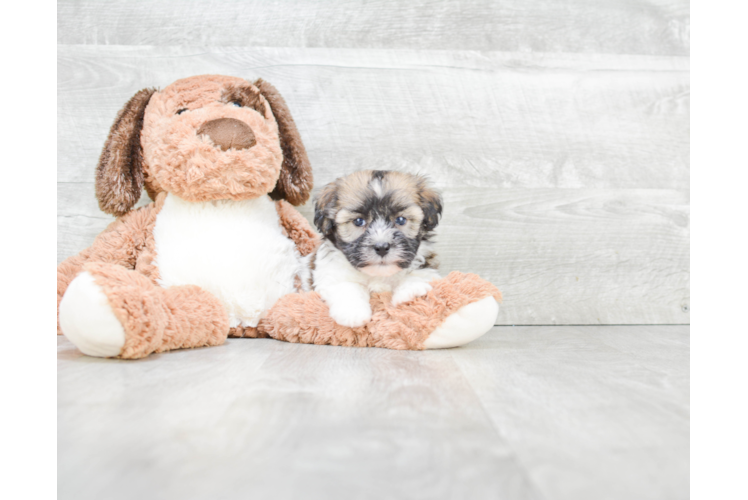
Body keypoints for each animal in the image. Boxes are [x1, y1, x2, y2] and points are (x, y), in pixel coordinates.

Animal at [308, 171, 444, 328]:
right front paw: (352, 312)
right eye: (358, 221)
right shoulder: (330, 274)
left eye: (401, 220)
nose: (382, 247)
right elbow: (345, 286)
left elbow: (420, 274)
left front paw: (410, 292)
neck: (379, 275)